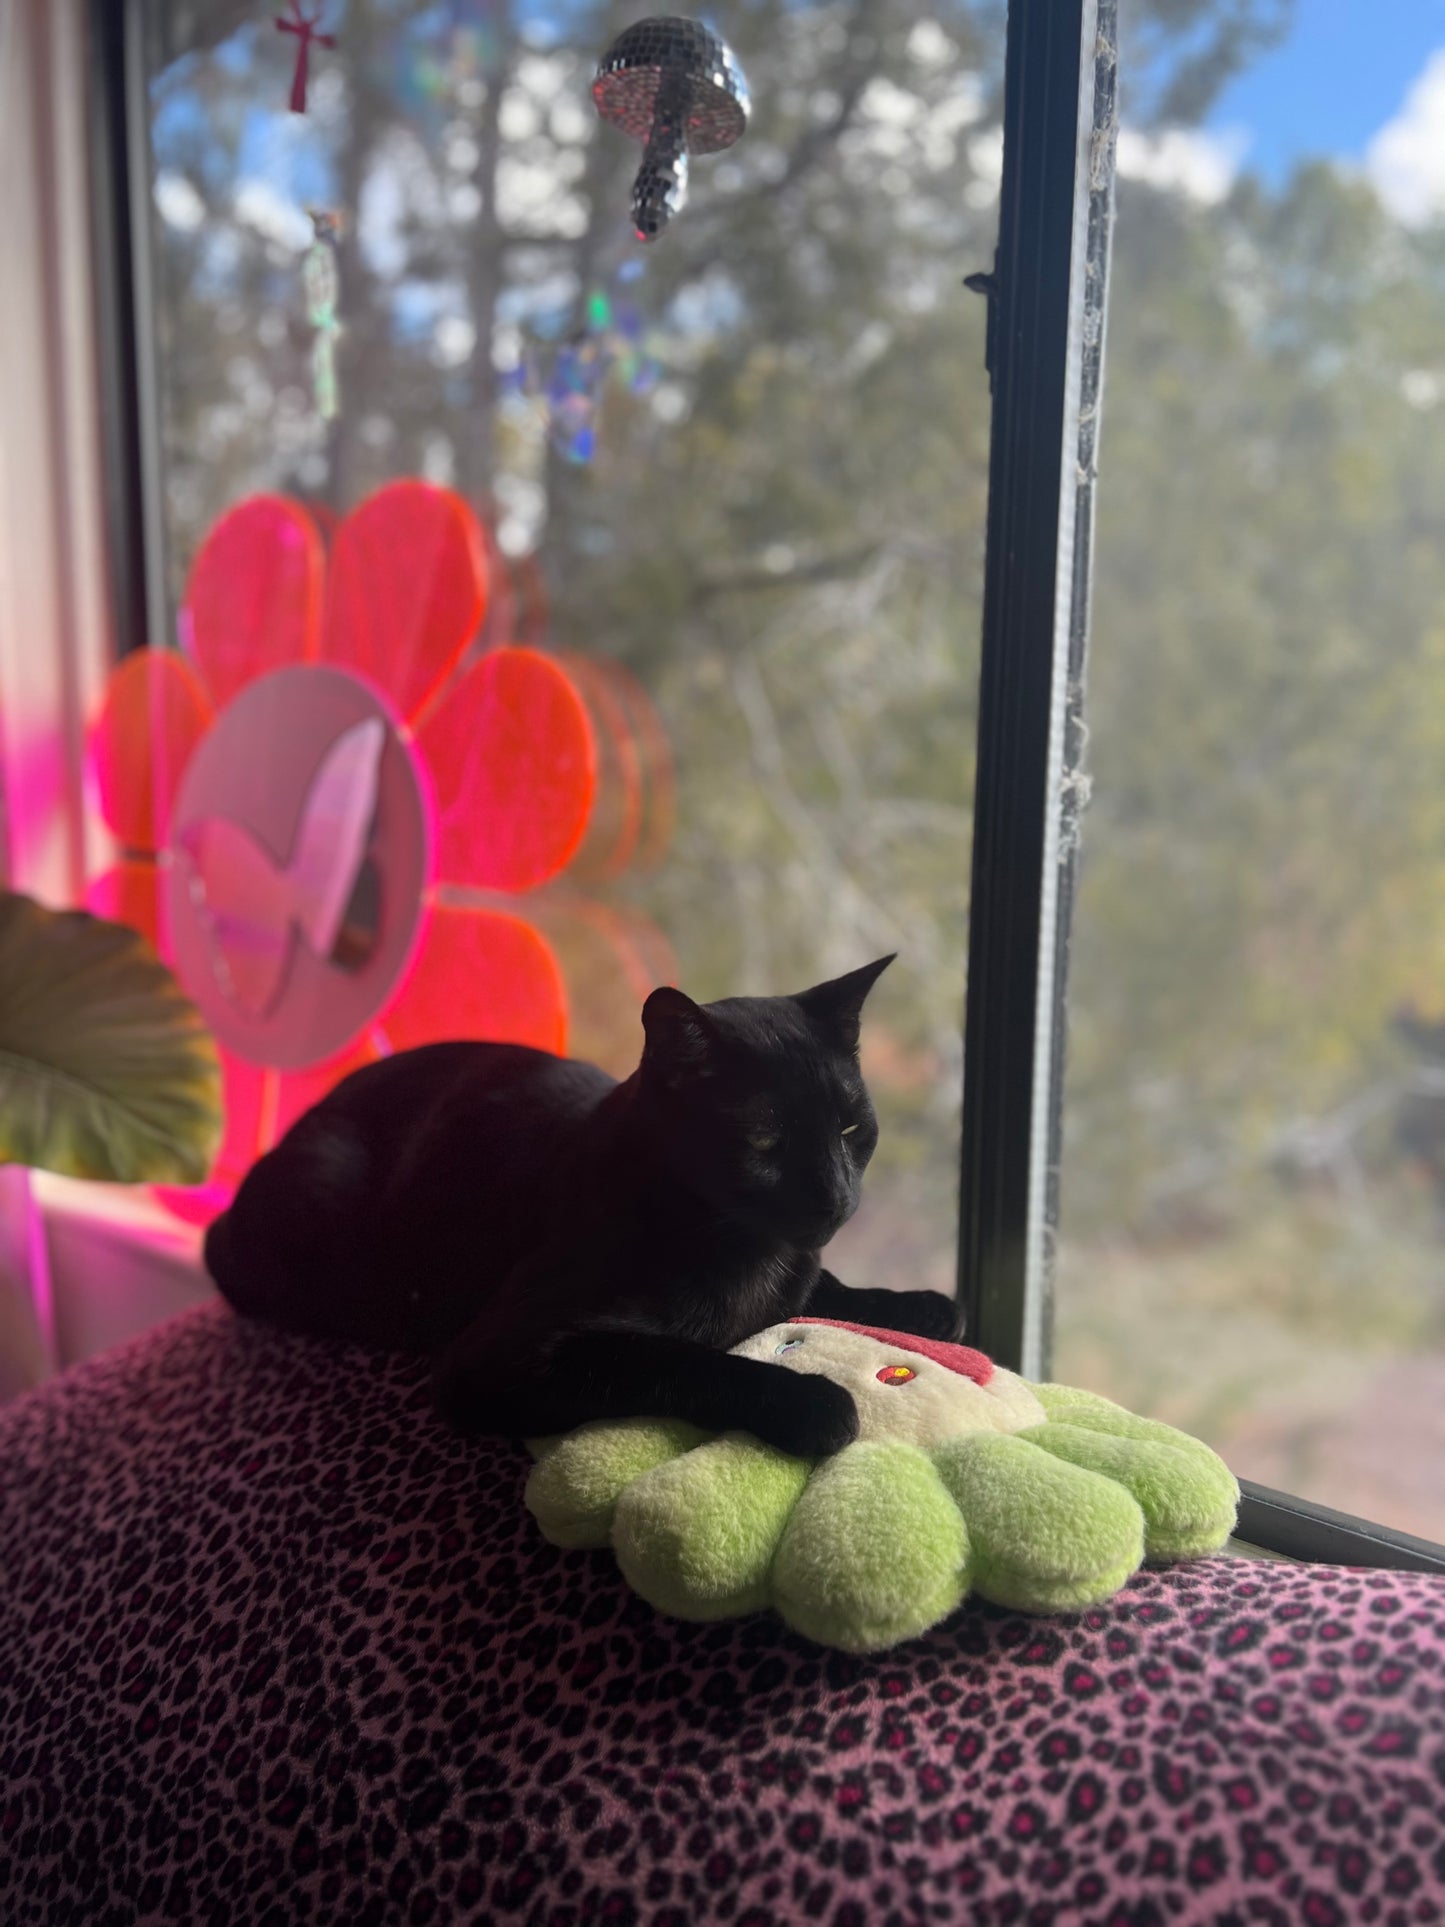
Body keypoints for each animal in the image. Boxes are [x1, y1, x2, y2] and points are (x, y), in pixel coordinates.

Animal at [205, 955, 965, 1457]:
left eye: (851, 1129)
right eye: (764, 1140)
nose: (837, 1197)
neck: (746, 1248)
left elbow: (828, 1286)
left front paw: (923, 1304)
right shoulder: (503, 1357)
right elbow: (679, 1360)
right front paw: (813, 1401)